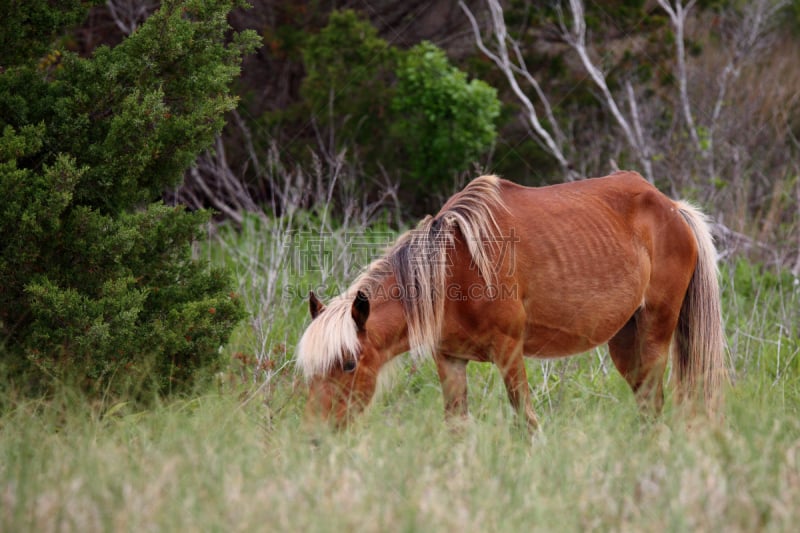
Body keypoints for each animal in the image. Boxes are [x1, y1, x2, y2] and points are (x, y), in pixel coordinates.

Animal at [296, 170, 724, 428]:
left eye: (349, 364)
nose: (316, 435)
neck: (455, 268)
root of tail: (672, 208)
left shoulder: (509, 351)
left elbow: (526, 422)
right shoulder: (450, 360)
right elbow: (456, 427)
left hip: (655, 331)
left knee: (655, 400)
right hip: (623, 340)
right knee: (647, 404)